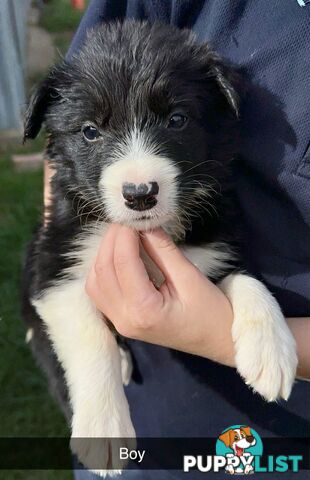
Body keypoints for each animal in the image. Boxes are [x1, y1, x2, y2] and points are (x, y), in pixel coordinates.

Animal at [22, 20, 298, 474]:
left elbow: (247, 279)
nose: (139, 194)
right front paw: (103, 428)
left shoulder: (210, 247)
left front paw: (271, 348)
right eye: (90, 131)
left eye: (177, 120)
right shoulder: (56, 266)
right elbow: (90, 339)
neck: (145, 234)